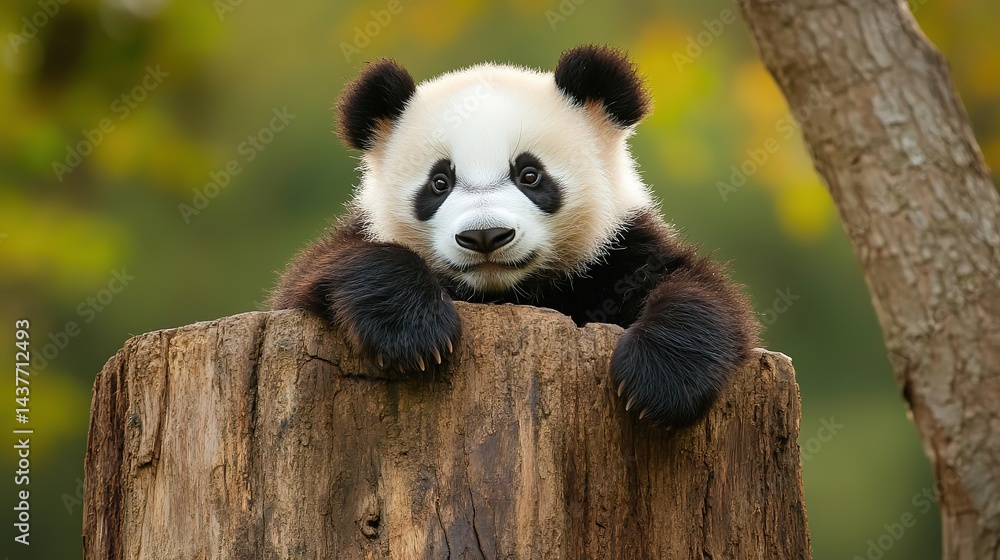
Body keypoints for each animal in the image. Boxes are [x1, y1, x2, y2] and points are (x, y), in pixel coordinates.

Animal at [269, 45, 759, 428]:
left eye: (529, 175)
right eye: (439, 183)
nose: (486, 235)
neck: (507, 293)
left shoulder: (619, 251)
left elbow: (702, 293)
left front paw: (656, 385)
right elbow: (332, 267)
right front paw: (413, 335)